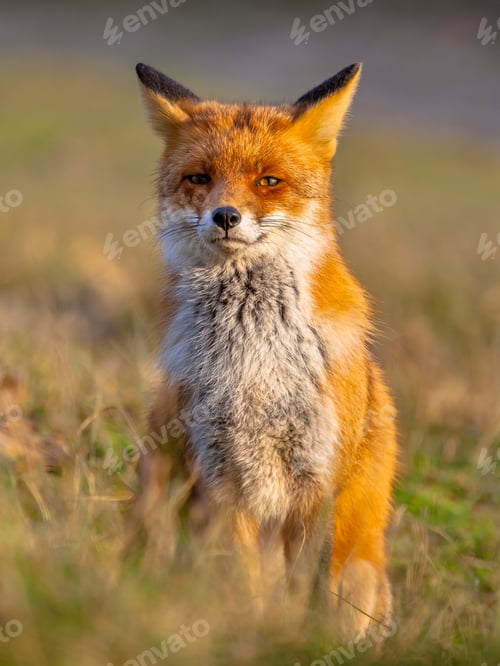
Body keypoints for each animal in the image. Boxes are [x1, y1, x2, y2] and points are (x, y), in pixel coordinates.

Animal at [133, 61, 398, 640]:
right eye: (199, 178)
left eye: (268, 181)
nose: (226, 216)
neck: (253, 359)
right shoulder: (220, 475)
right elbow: (248, 579)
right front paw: (254, 629)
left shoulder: (320, 477)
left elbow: (304, 587)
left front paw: (297, 638)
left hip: (362, 571)